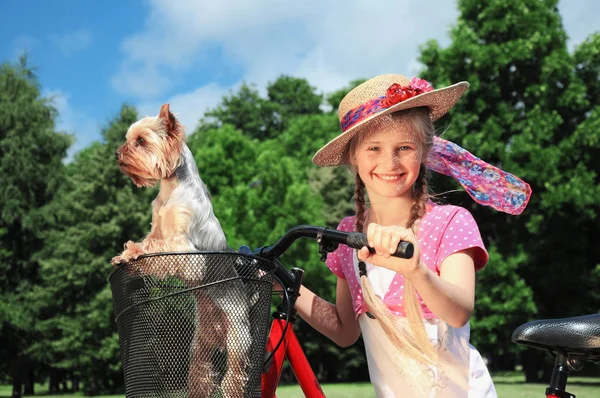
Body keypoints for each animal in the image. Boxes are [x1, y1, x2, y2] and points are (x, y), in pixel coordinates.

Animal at [111, 104, 252, 396]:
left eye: (140, 141)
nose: (116, 153)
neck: (170, 187)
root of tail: (219, 331)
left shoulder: (184, 247)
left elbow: (155, 246)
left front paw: (133, 252)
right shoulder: (157, 229)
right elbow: (151, 239)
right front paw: (124, 254)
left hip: (238, 336)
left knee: (234, 373)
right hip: (200, 343)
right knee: (201, 371)